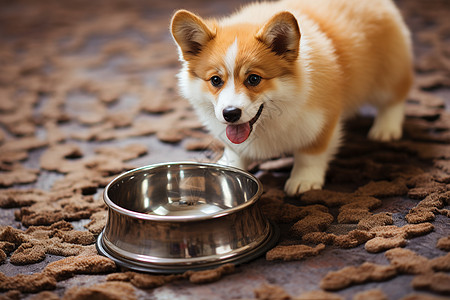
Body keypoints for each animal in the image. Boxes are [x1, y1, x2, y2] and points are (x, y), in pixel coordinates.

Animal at [171, 0, 414, 197]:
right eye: (215, 80)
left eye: (254, 79)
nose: (230, 114)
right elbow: (235, 150)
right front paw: (230, 165)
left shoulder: (322, 122)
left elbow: (310, 154)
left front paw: (303, 181)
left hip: (387, 75)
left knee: (395, 98)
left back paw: (385, 129)